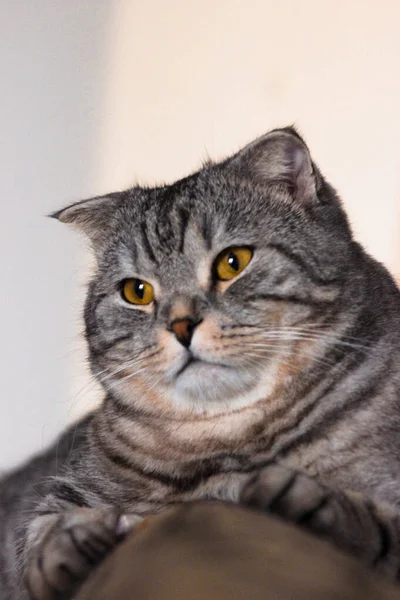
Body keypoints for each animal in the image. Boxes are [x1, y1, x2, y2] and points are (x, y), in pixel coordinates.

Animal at [0, 126, 400, 600]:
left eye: (233, 262)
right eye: (136, 291)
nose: (181, 325)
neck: (227, 436)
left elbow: (374, 524)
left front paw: (297, 495)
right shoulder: (57, 495)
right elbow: (39, 537)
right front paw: (69, 544)